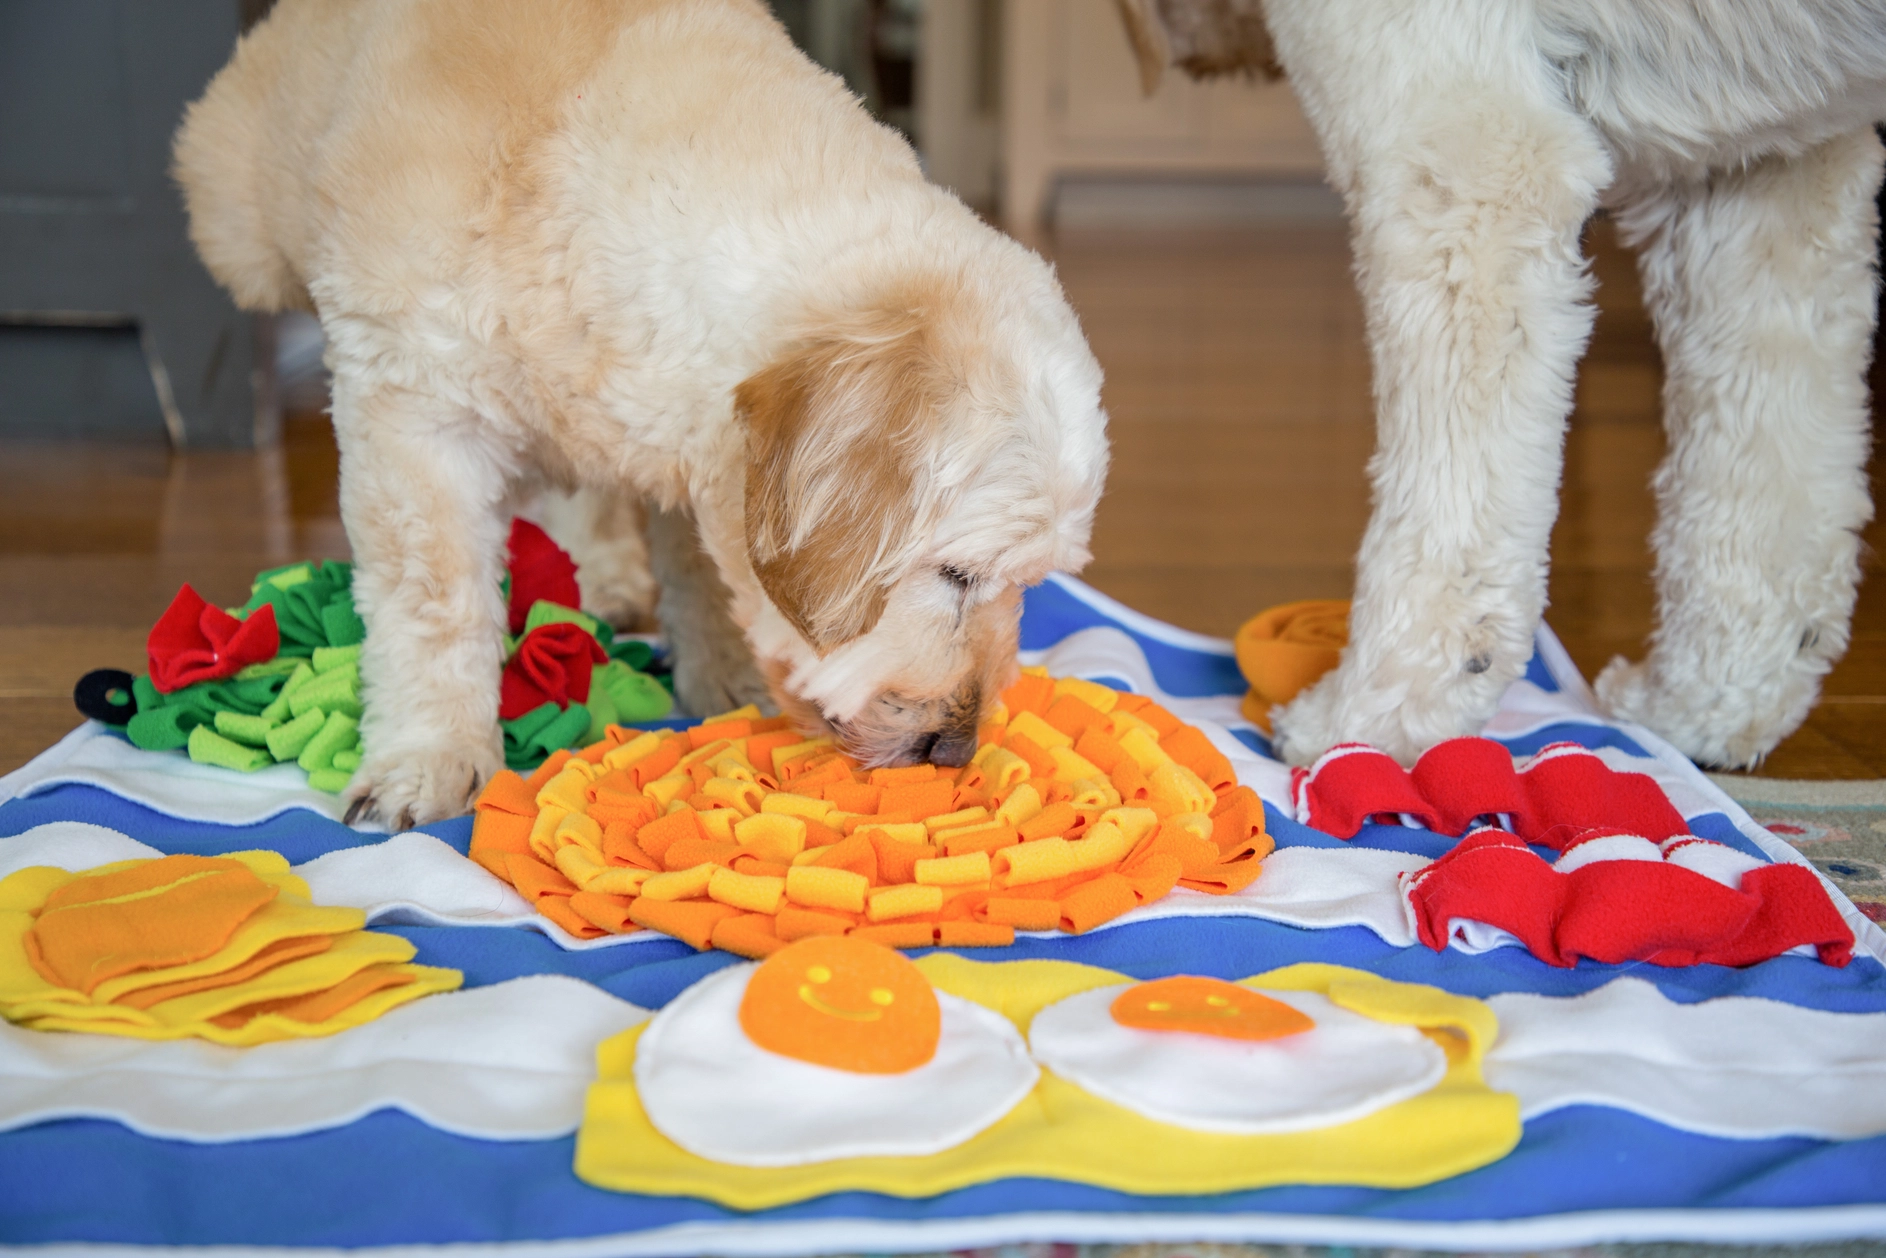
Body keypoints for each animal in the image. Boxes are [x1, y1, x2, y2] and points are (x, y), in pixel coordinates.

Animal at [171, 0, 1108, 826]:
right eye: (957, 576)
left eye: (1027, 585)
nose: (957, 749)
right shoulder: (412, 415)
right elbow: (434, 605)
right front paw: (429, 754)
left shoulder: (685, 438)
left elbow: (700, 568)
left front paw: (719, 670)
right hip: (237, 221)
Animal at [1124, 0, 1878, 773]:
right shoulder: (1756, 181)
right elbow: (1754, 499)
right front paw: (1704, 706)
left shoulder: (1463, 167)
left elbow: (1444, 522)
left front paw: (1366, 725)